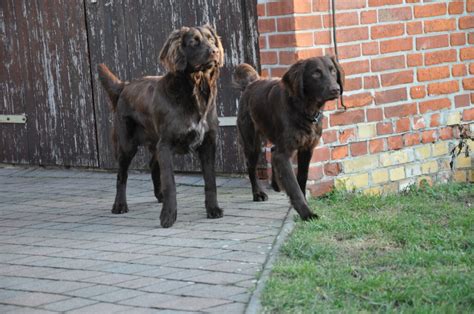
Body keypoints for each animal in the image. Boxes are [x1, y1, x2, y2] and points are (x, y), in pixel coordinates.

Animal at [97, 23, 225, 227]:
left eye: (211, 39)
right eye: (193, 42)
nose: (215, 51)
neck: (194, 91)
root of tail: (125, 86)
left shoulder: (207, 143)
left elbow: (210, 180)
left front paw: (213, 209)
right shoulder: (166, 145)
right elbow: (170, 183)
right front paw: (168, 216)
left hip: (153, 142)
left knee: (151, 164)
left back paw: (159, 196)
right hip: (126, 145)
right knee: (121, 175)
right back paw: (119, 205)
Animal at [234, 55, 342, 220]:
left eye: (333, 70)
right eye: (316, 73)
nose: (336, 89)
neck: (303, 108)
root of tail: (251, 83)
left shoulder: (307, 148)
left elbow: (302, 177)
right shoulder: (285, 153)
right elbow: (293, 185)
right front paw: (306, 213)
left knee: (273, 151)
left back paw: (275, 184)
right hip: (252, 142)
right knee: (251, 166)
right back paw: (258, 193)